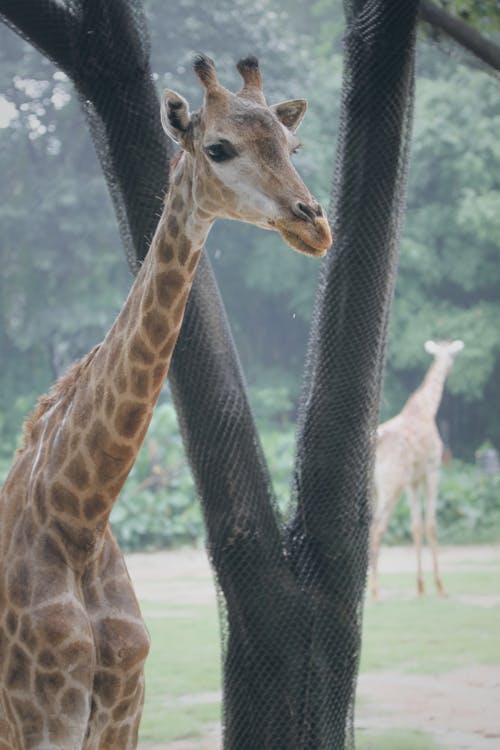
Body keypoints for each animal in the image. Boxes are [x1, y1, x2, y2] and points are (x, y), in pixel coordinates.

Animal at [0, 57, 332, 750]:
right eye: (218, 148)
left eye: (292, 147)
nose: (314, 224)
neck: (78, 518)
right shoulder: (40, 720)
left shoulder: (123, 715)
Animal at [370, 340, 462, 604]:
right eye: (451, 355)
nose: (451, 368)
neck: (427, 408)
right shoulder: (432, 471)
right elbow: (430, 524)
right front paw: (440, 587)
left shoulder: (413, 481)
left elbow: (415, 526)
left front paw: (420, 586)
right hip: (392, 485)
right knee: (377, 527)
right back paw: (375, 592)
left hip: (376, 488)